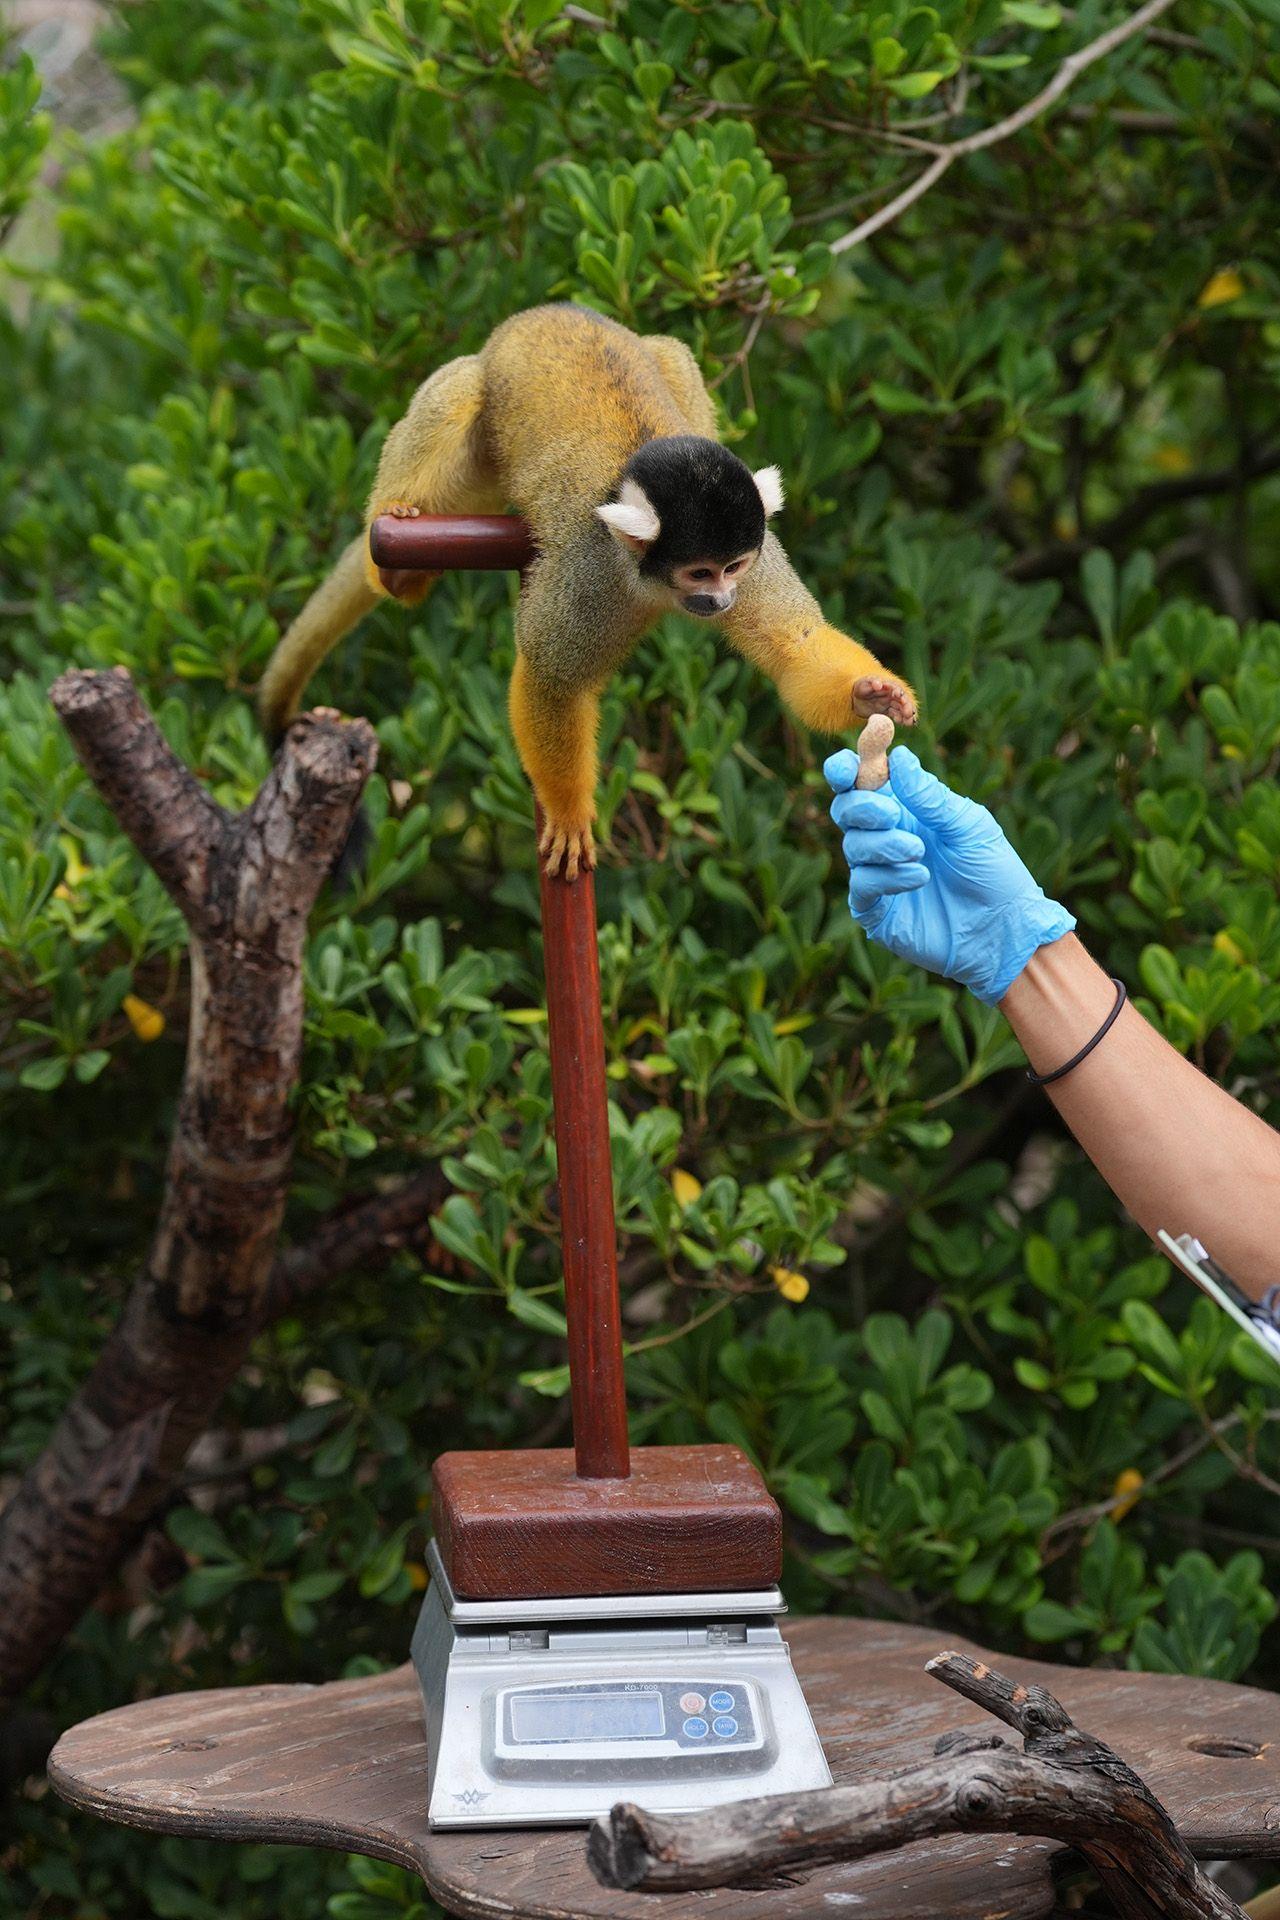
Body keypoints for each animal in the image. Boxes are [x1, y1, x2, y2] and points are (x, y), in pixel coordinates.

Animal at [258, 304, 917, 880]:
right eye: (700, 574)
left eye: (732, 567)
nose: (724, 601)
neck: (645, 578)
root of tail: (546, 310)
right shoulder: (587, 568)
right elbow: (552, 678)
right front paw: (572, 814)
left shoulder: (758, 551)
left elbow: (796, 643)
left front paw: (871, 692)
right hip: (475, 451)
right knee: (456, 393)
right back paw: (394, 557)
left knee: (671, 354)